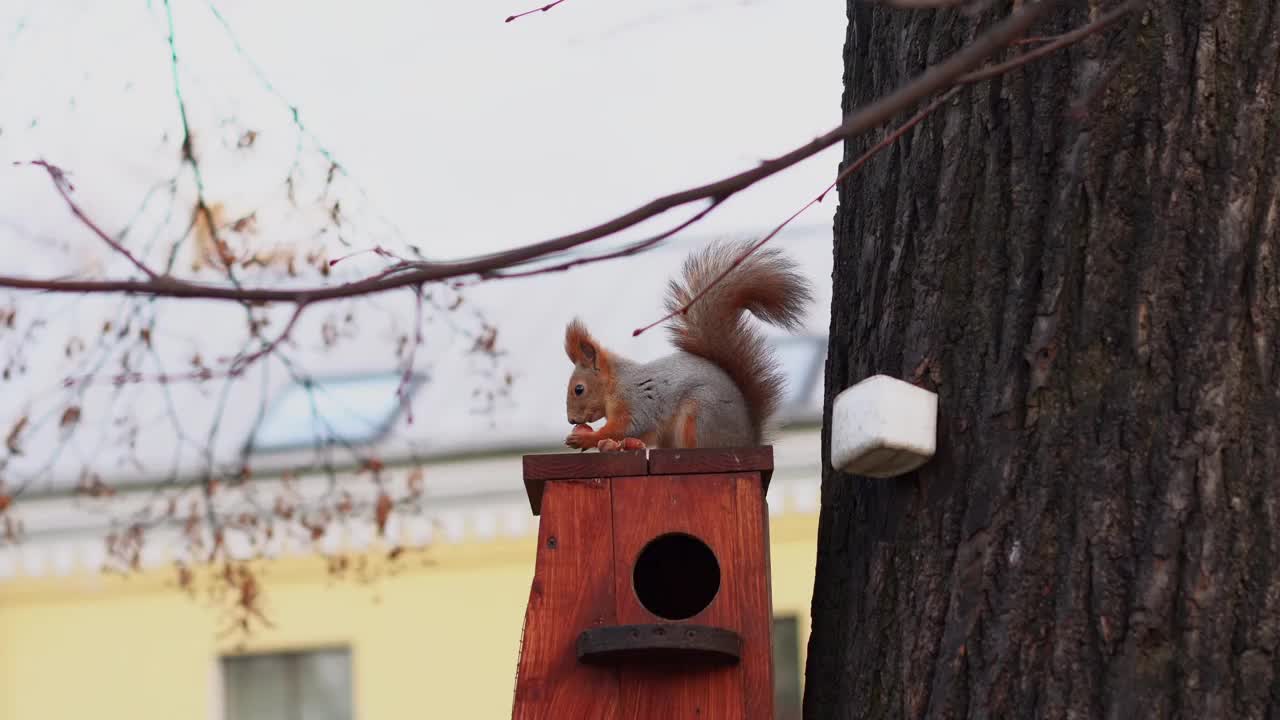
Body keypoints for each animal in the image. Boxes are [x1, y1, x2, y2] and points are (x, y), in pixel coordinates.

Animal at [565, 238, 814, 450]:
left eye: (579, 389)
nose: (571, 420)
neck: (615, 384)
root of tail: (747, 441)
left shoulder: (636, 402)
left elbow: (630, 427)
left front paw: (586, 438)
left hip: (700, 414)